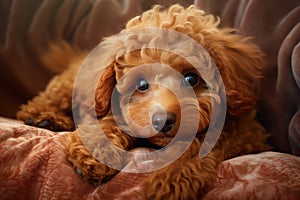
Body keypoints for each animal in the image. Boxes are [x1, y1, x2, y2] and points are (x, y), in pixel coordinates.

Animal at [18, 5, 272, 200]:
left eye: (191, 78)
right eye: (141, 84)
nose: (163, 121)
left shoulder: (246, 133)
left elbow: (201, 143)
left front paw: (171, 180)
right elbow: (111, 123)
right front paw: (95, 154)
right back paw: (44, 116)